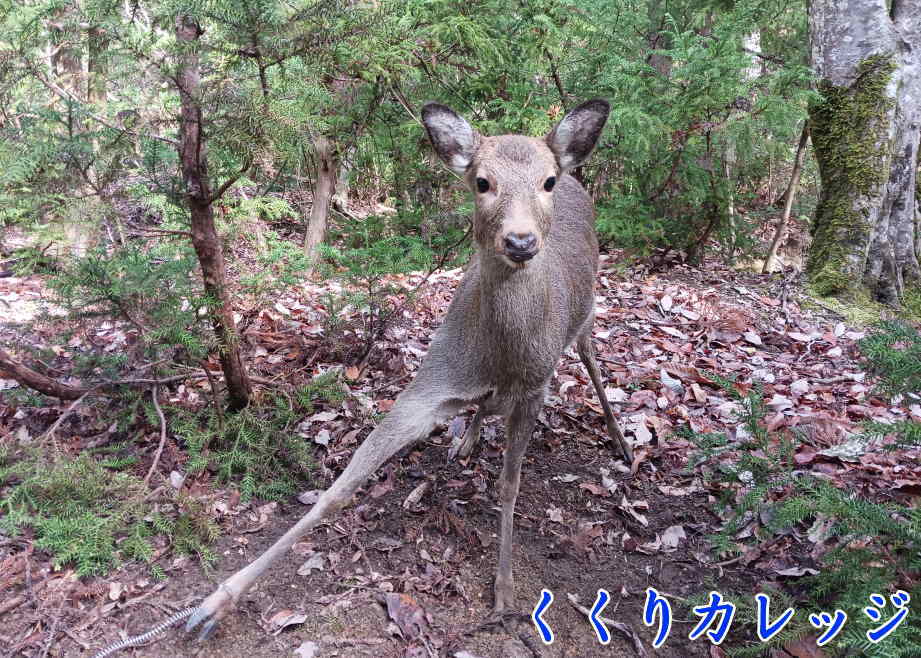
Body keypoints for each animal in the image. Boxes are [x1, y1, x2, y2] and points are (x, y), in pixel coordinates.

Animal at [186, 98, 633, 639]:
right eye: (481, 181)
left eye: (545, 181)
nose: (521, 241)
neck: (500, 354)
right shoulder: (433, 380)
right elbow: (344, 482)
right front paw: (215, 601)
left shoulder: (536, 386)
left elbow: (509, 487)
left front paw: (504, 592)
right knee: (490, 403)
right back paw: (468, 439)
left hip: (585, 313)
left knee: (590, 358)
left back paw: (621, 441)